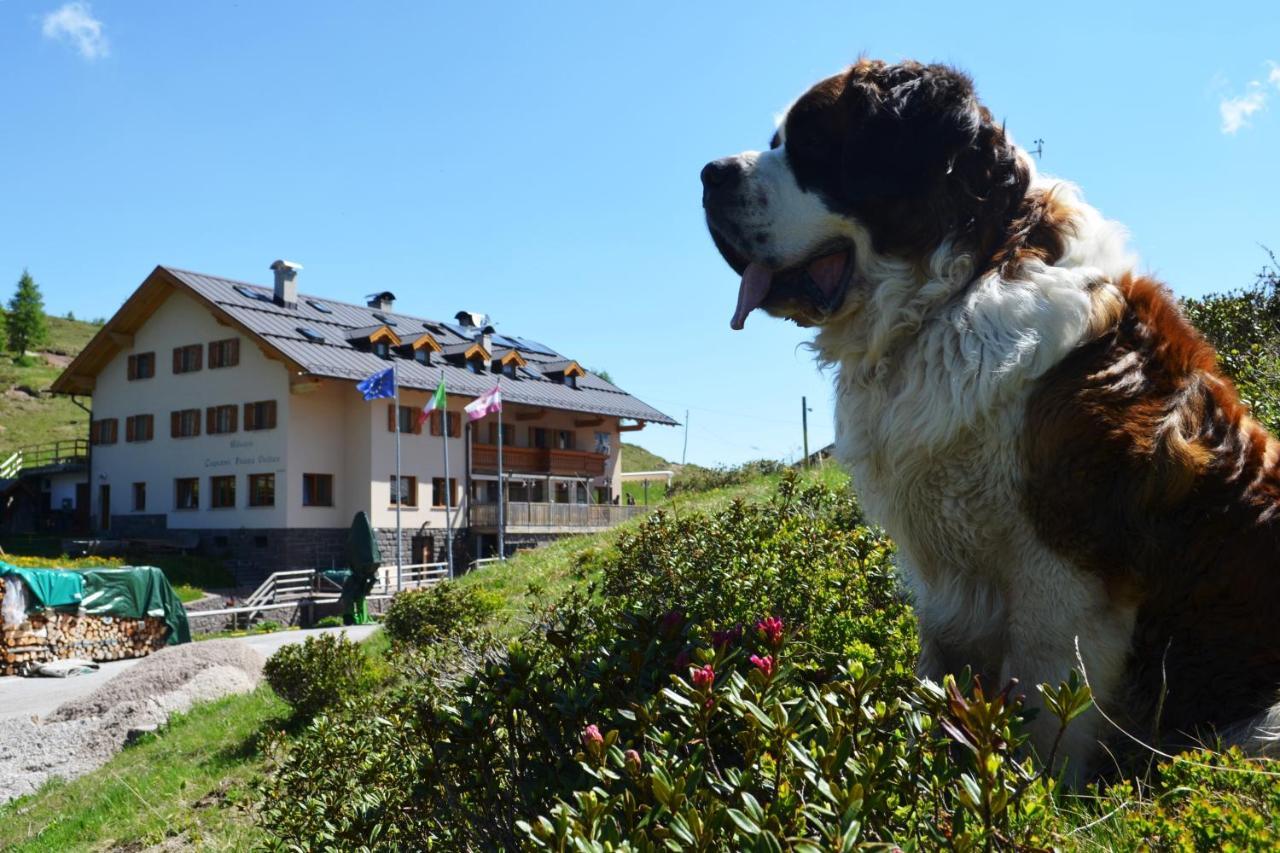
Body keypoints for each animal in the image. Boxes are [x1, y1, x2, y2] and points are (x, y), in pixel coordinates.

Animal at [706, 56, 1280, 778]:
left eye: (811, 143)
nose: (709, 175)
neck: (956, 290)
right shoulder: (945, 583)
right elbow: (937, 672)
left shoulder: (1061, 580)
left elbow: (1044, 712)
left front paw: (1024, 794)